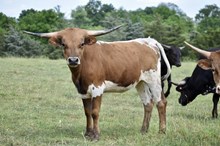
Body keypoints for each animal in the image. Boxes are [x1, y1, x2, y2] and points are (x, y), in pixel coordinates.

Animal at [24, 26, 171, 140]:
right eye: (64, 44)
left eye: (81, 44)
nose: (73, 60)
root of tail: (150, 41)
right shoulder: (83, 91)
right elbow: (87, 112)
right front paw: (88, 134)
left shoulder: (97, 88)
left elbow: (95, 112)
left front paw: (96, 135)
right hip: (141, 82)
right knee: (148, 104)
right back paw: (143, 131)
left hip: (154, 79)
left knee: (161, 102)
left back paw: (162, 131)